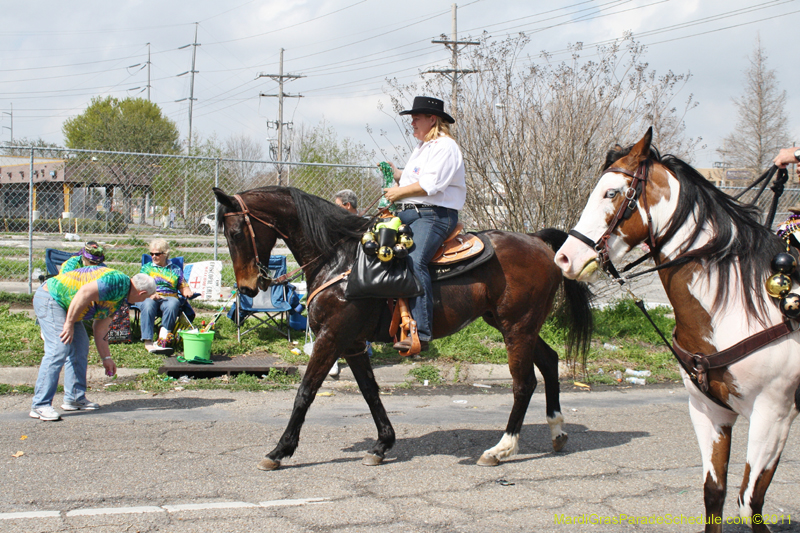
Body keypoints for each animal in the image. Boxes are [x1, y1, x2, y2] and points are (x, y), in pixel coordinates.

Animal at [216, 186, 592, 470]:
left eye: (235, 232)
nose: (248, 287)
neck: (339, 259)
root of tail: (537, 240)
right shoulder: (352, 343)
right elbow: (370, 392)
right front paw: (382, 445)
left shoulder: (331, 336)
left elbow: (305, 392)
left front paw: (280, 451)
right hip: (515, 326)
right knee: (551, 361)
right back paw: (557, 431)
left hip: (517, 328)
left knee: (523, 383)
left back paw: (501, 449)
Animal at [556, 128, 800, 528]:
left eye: (612, 193)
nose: (564, 257)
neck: (742, 307)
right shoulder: (709, 411)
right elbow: (714, 493)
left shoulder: (773, 416)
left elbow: (749, 504)